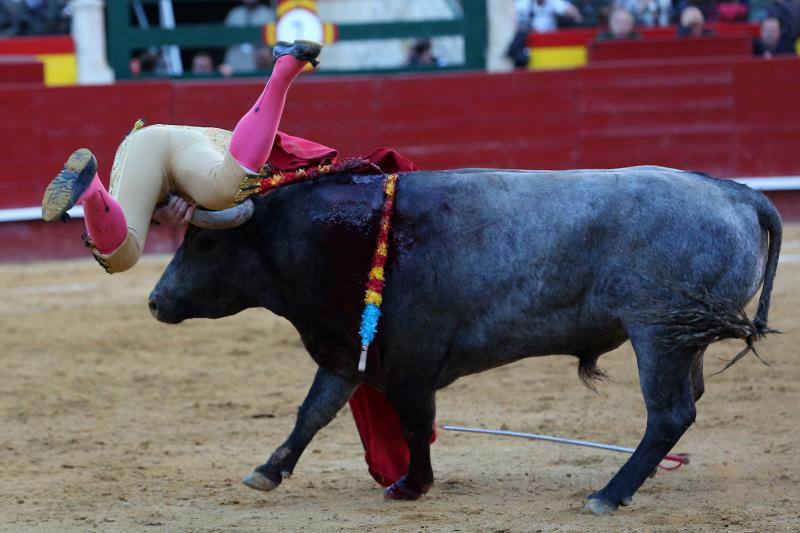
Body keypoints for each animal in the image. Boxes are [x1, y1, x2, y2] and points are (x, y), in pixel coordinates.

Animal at [147, 167, 780, 516]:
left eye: (204, 244)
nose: (156, 301)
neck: (346, 236)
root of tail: (738, 194)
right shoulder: (350, 351)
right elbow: (312, 413)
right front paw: (268, 471)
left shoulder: (409, 363)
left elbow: (412, 425)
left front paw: (410, 485)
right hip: (681, 339)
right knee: (685, 405)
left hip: (656, 332)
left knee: (669, 414)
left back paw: (607, 494)